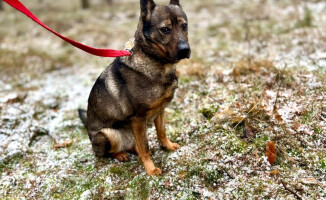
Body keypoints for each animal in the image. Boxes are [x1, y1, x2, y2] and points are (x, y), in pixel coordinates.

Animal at [78, 0, 190, 175]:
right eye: (165, 29)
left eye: (184, 26)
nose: (185, 50)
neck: (154, 61)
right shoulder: (138, 118)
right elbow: (145, 147)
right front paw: (151, 169)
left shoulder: (160, 111)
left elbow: (161, 133)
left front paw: (168, 146)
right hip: (108, 134)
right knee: (109, 152)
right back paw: (120, 154)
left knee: (135, 145)